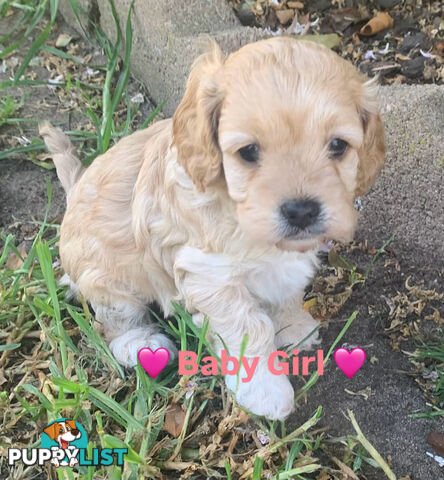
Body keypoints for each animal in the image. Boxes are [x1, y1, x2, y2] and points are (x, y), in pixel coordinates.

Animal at [40, 37, 386, 420]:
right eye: (248, 151)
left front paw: (293, 327)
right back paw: (141, 344)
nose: (301, 211)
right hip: (108, 280)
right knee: (114, 322)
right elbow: (249, 328)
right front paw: (265, 390)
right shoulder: (210, 275)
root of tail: (74, 192)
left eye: (338, 146)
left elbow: (285, 293)